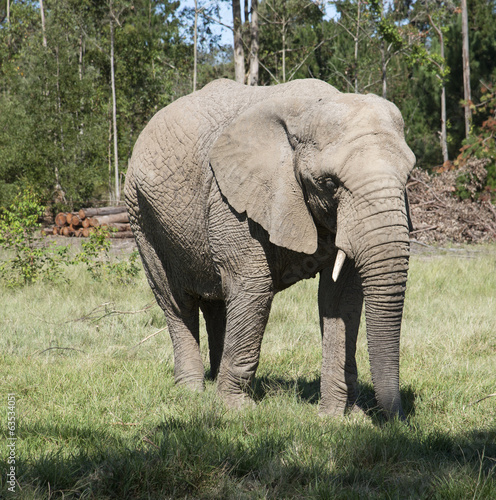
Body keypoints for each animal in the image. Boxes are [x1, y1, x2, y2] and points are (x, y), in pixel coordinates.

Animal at [125, 78, 414, 420]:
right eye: (330, 183)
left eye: (409, 176)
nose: (395, 418)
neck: (310, 109)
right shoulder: (231, 201)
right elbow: (254, 287)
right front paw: (236, 411)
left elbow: (341, 298)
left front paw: (339, 418)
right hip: (141, 214)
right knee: (176, 300)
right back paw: (192, 391)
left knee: (218, 300)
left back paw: (213, 380)